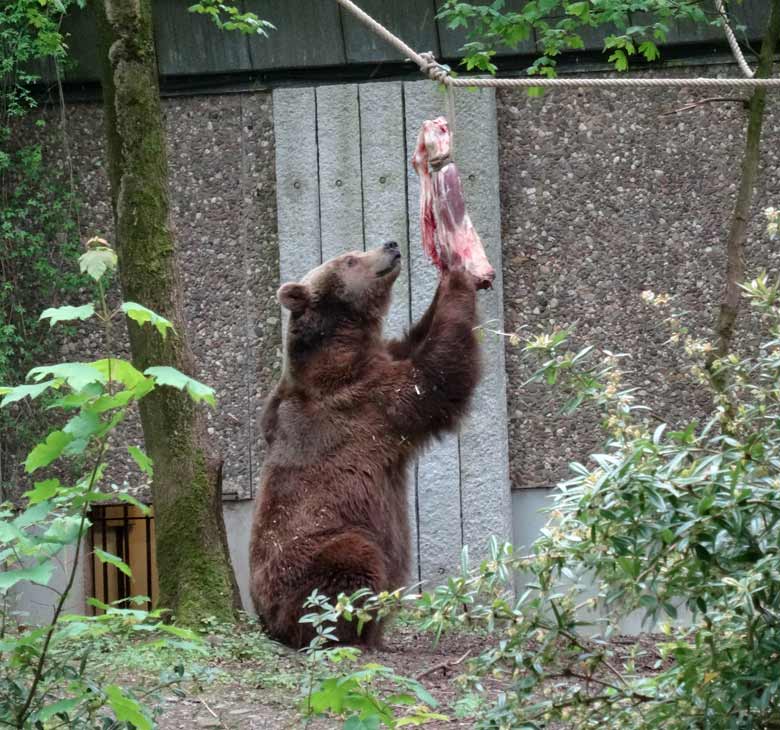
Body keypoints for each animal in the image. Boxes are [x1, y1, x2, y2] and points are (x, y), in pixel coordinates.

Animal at [250, 242, 482, 644]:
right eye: (350, 259)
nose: (391, 245)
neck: (345, 345)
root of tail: (265, 619)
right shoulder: (366, 399)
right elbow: (438, 374)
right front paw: (457, 275)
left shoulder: (380, 361)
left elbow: (415, 341)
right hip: (313, 550)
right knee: (351, 562)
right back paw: (353, 631)